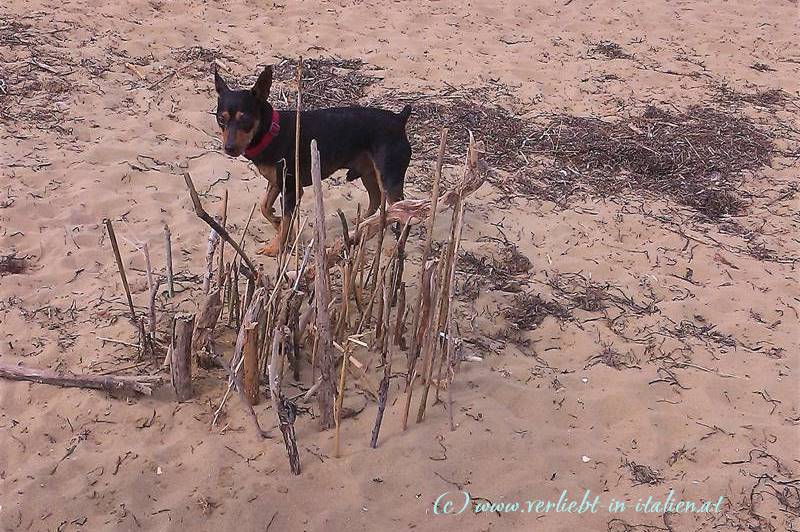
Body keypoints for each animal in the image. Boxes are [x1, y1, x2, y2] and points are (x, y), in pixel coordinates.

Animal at [212, 65, 412, 256]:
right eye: (221, 119)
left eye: (245, 119)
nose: (229, 148)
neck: (271, 132)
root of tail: (399, 119)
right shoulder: (277, 182)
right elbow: (265, 208)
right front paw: (280, 225)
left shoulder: (291, 190)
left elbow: (285, 219)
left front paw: (275, 247)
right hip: (368, 172)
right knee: (376, 198)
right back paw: (362, 224)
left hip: (388, 179)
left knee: (404, 214)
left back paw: (396, 248)